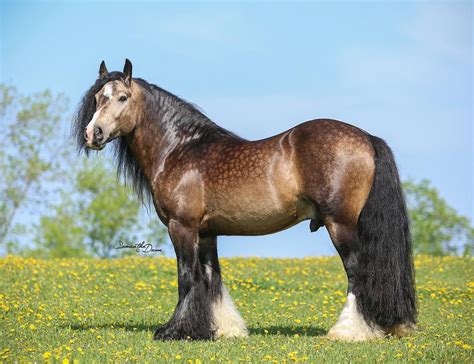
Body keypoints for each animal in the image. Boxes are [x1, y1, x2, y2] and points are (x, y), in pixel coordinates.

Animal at [72, 59, 416, 342]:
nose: (93, 133)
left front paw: (175, 331)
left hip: (339, 224)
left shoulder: (181, 227)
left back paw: (349, 332)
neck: (181, 149)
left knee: (358, 272)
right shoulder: (206, 233)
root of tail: (367, 138)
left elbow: (186, 277)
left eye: (122, 97)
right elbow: (211, 278)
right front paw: (222, 329)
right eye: (98, 98)